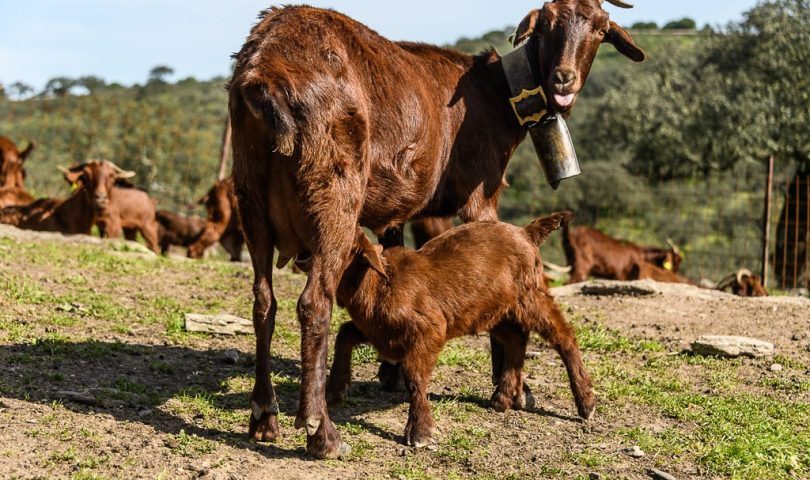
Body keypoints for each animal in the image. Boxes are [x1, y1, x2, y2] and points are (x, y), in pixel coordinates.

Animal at [326, 212, 592, 448]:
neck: (380, 285)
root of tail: (526, 232)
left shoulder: (429, 330)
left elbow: (413, 375)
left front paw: (419, 432)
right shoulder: (379, 333)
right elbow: (345, 333)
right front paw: (334, 390)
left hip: (530, 295)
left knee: (563, 335)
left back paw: (586, 403)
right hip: (494, 311)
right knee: (516, 338)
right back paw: (503, 397)